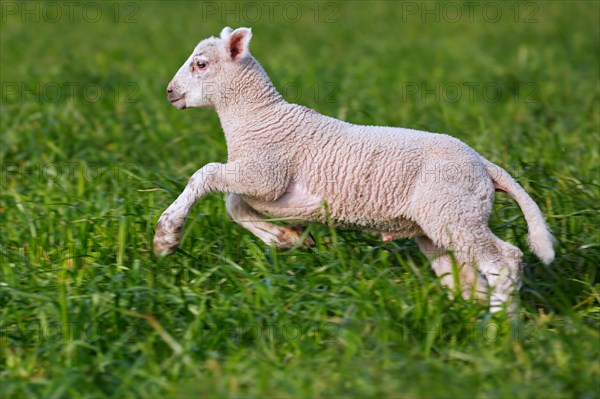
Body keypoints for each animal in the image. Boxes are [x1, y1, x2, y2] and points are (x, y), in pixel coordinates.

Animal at [152, 26, 556, 312]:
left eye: (201, 64)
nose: (169, 92)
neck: (258, 118)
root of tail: (485, 164)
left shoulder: (266, 174)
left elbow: (207, 175)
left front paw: (166, 236)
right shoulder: (268, 187)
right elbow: (234, 205)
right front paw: (286, 239)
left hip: (456, 212)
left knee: (506, 259)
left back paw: (500, 329)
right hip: (441, 224)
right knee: (467, 279)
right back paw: (475, 318)